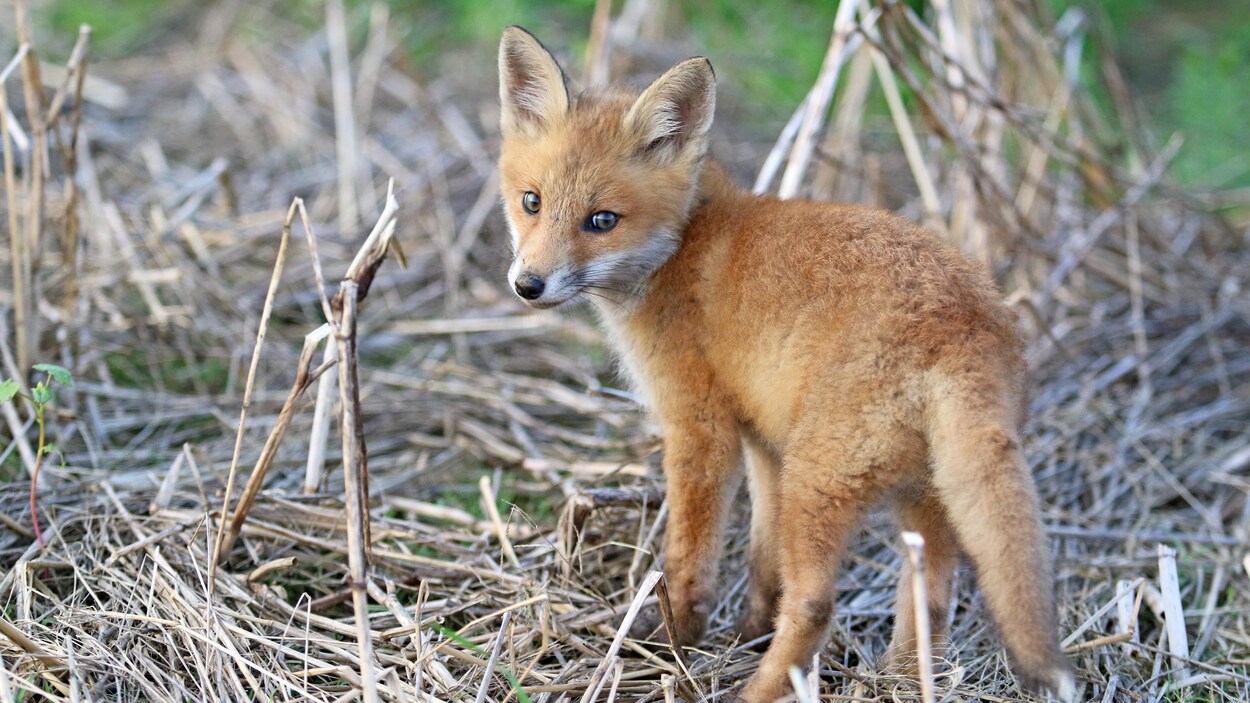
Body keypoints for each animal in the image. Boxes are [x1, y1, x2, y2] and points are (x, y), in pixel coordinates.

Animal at [497, 25, 1075, 700]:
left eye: (602, 221)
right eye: (532, 202)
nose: (528, 286)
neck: (682, 245)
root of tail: (963, 328)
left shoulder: (701, 430)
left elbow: (688, 564)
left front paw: (672, 644)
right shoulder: (763, 442)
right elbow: (762, 563)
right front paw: (747, 633)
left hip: (817, 481)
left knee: (816, 604)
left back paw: (759, 691)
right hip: (923, 495)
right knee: (930, 599)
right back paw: (896, 680)